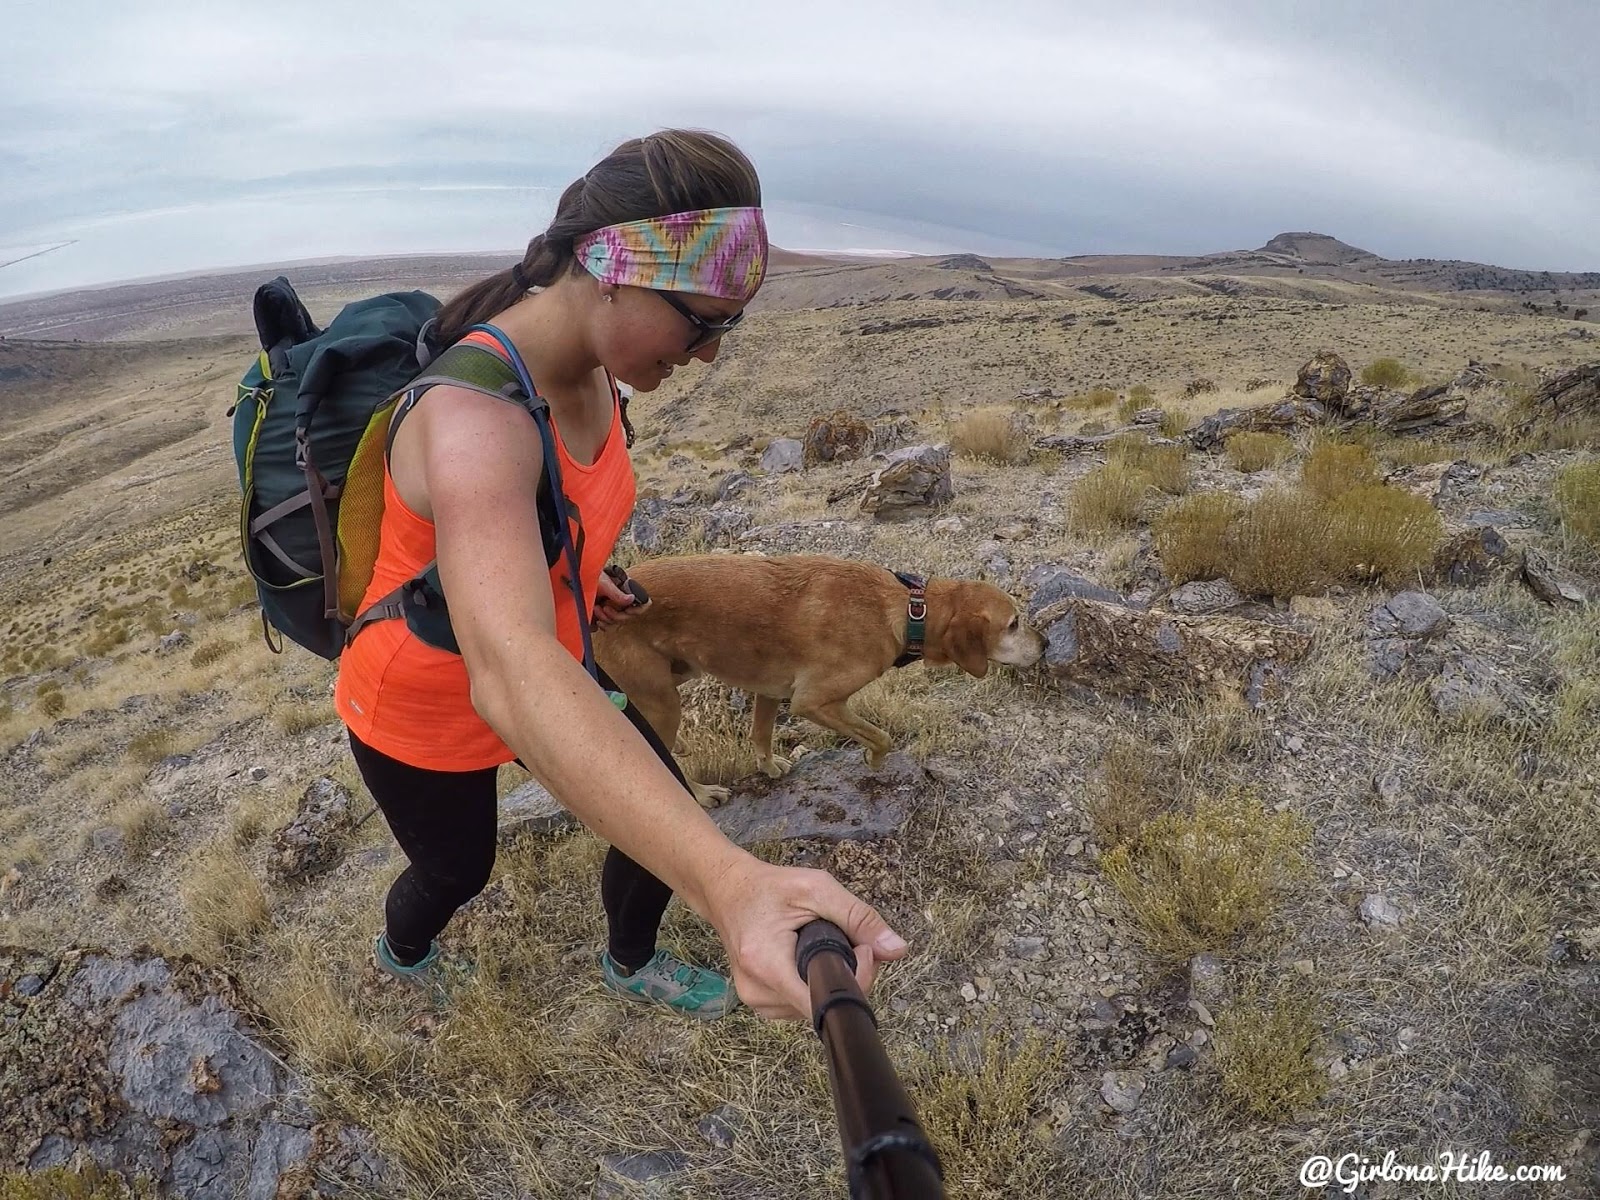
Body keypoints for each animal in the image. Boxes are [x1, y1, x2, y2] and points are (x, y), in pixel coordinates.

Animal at [595, 556, 1043, 809]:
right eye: (1014, 623)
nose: (1048, 644)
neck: (909, 610)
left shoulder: (771, 690)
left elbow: (760, 734)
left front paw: (769, 766)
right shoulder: (814, 701)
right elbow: (882, 737)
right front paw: (874, 762)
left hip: (677, 674)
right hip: (662, 702)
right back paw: (703, 794)